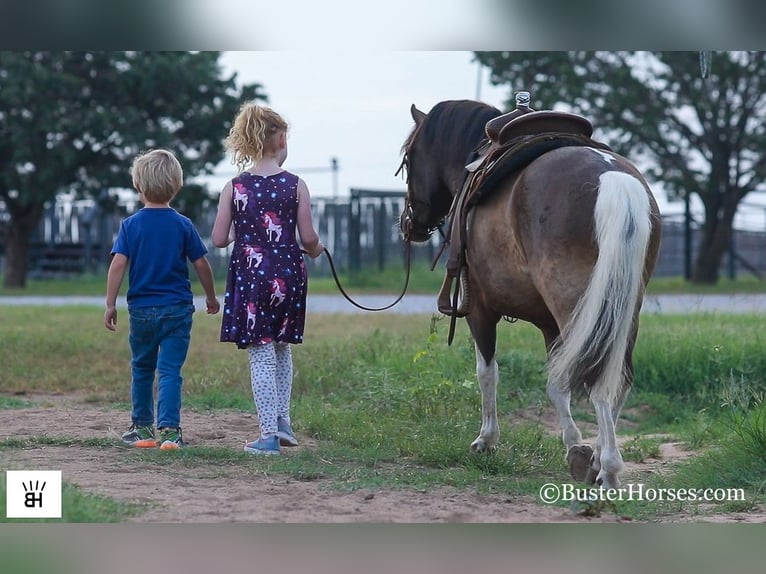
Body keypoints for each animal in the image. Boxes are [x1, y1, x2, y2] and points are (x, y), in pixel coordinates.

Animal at [400, 100, 664, 490]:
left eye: (409, 158)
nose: (410, 224)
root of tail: (612, 178)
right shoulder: (549, 324)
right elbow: (558, 383)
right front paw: (578, 449)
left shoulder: (480, 309)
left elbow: (488, 372)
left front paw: (488, 440)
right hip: (622, 309)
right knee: (617, 379)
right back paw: (603, 460)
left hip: (575, 306)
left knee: (598, 379)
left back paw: (610, 468)